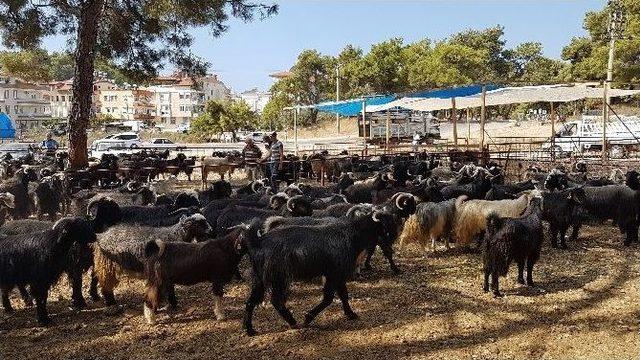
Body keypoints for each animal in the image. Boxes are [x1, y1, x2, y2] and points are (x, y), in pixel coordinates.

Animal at [242, 205, 398, 338]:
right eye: (386, 221)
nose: (394, 237)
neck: (352, 235)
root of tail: (258, 243)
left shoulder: (337, 275)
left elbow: (344, 295)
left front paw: (350, 314)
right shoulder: (334, 274)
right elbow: (329, 298)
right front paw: (308, 317)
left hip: (259, 278)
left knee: (250, 302)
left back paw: (249, 329)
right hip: (278, 277)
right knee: (276, 301)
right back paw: (292, 321)